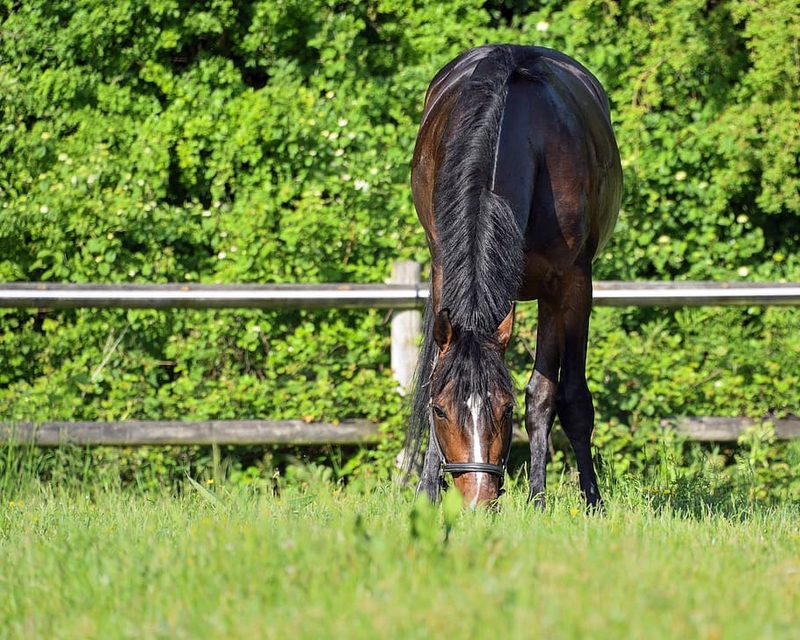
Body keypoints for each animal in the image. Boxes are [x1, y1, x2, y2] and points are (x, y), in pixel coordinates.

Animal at [404, 43, 620, 510]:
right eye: (441, 410)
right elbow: (435, 374)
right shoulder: (442, 271)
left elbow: (564, 398)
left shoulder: (572, 285)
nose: (476, 499)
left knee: (546, 393)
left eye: (504, 409)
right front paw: (427, 492)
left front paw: (582, 500)